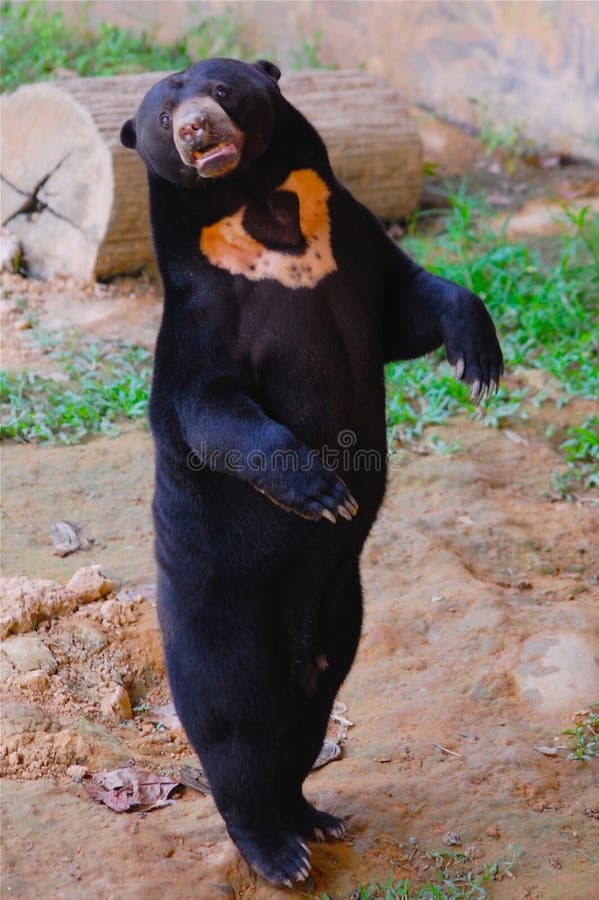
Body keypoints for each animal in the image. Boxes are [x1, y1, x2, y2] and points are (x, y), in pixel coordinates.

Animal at [119, 58, 504, 884]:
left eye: (221, 91)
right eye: (165, 118)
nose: (196, 130)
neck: (265, 209)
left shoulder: (352, 241)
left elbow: (411, 304)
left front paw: (479, 359)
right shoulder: (203, 311)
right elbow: (207, 405)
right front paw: (325, 493)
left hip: (341, 613)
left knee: (305, 718)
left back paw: (312, 818)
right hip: (218, 605)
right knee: (233, 723)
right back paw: (276, 853)